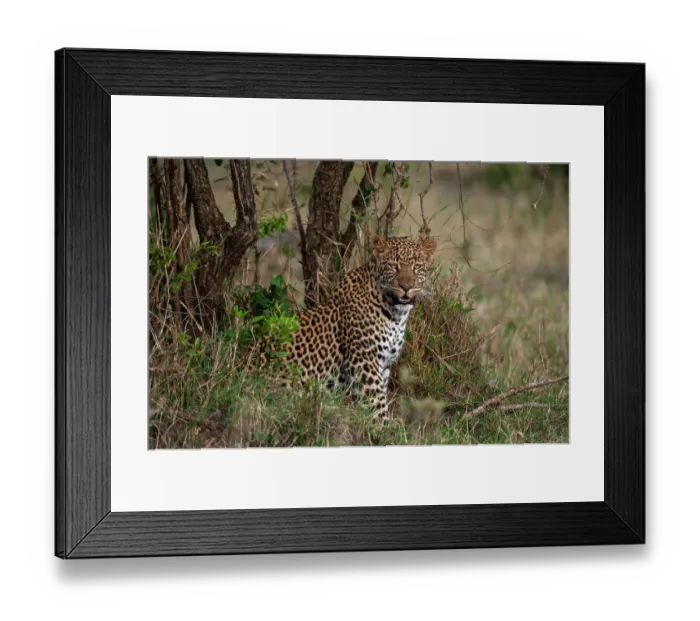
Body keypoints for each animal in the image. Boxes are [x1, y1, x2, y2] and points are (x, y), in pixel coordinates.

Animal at [280, 234, 437, 419]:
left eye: (416, 267)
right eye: (393, 266)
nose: (406, 287)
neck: (395, 315)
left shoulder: (384, 365)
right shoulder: (365, 363)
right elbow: (377, 405)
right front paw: (385, 425)